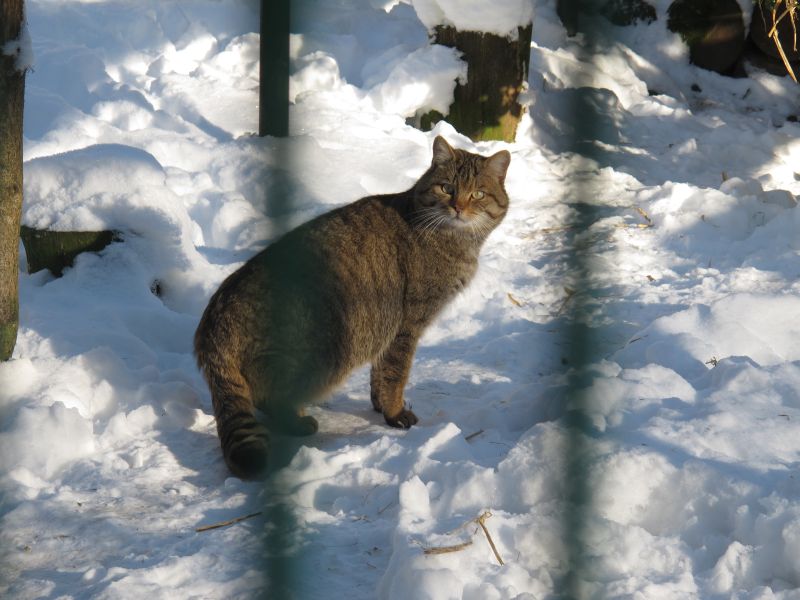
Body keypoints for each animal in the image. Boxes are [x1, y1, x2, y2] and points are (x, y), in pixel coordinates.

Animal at [195, 136, 510, 478]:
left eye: (477, 194)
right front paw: (395, 412)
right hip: (325, 352)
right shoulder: (407, 326)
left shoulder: (389, 332)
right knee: (267, 397)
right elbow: (396, 374)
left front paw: (380, 406)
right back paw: (298, 421)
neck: (456, 241)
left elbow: (381, 373)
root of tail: (213, 320)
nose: (458, 207)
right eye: (447, 188)